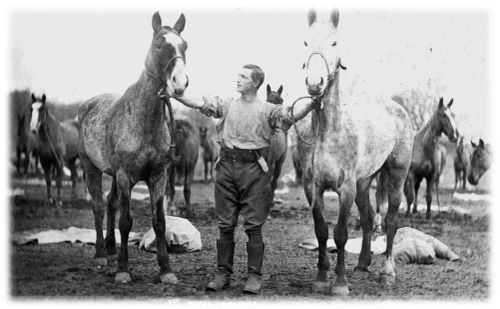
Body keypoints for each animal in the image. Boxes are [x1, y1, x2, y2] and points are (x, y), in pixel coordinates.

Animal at [78, 12, 189, 282]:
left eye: (185, 46)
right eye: (159, 44)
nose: (180, 83)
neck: (144, 120)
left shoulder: (158, 176)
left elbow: (159, 222)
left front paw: (166, 270)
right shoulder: (125, 175)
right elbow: (126, 221)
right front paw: (122, 270)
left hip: (113, 174)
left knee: (110, 203)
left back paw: (110, 248)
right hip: (91, 168)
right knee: (99, 206)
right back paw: (101, 255)